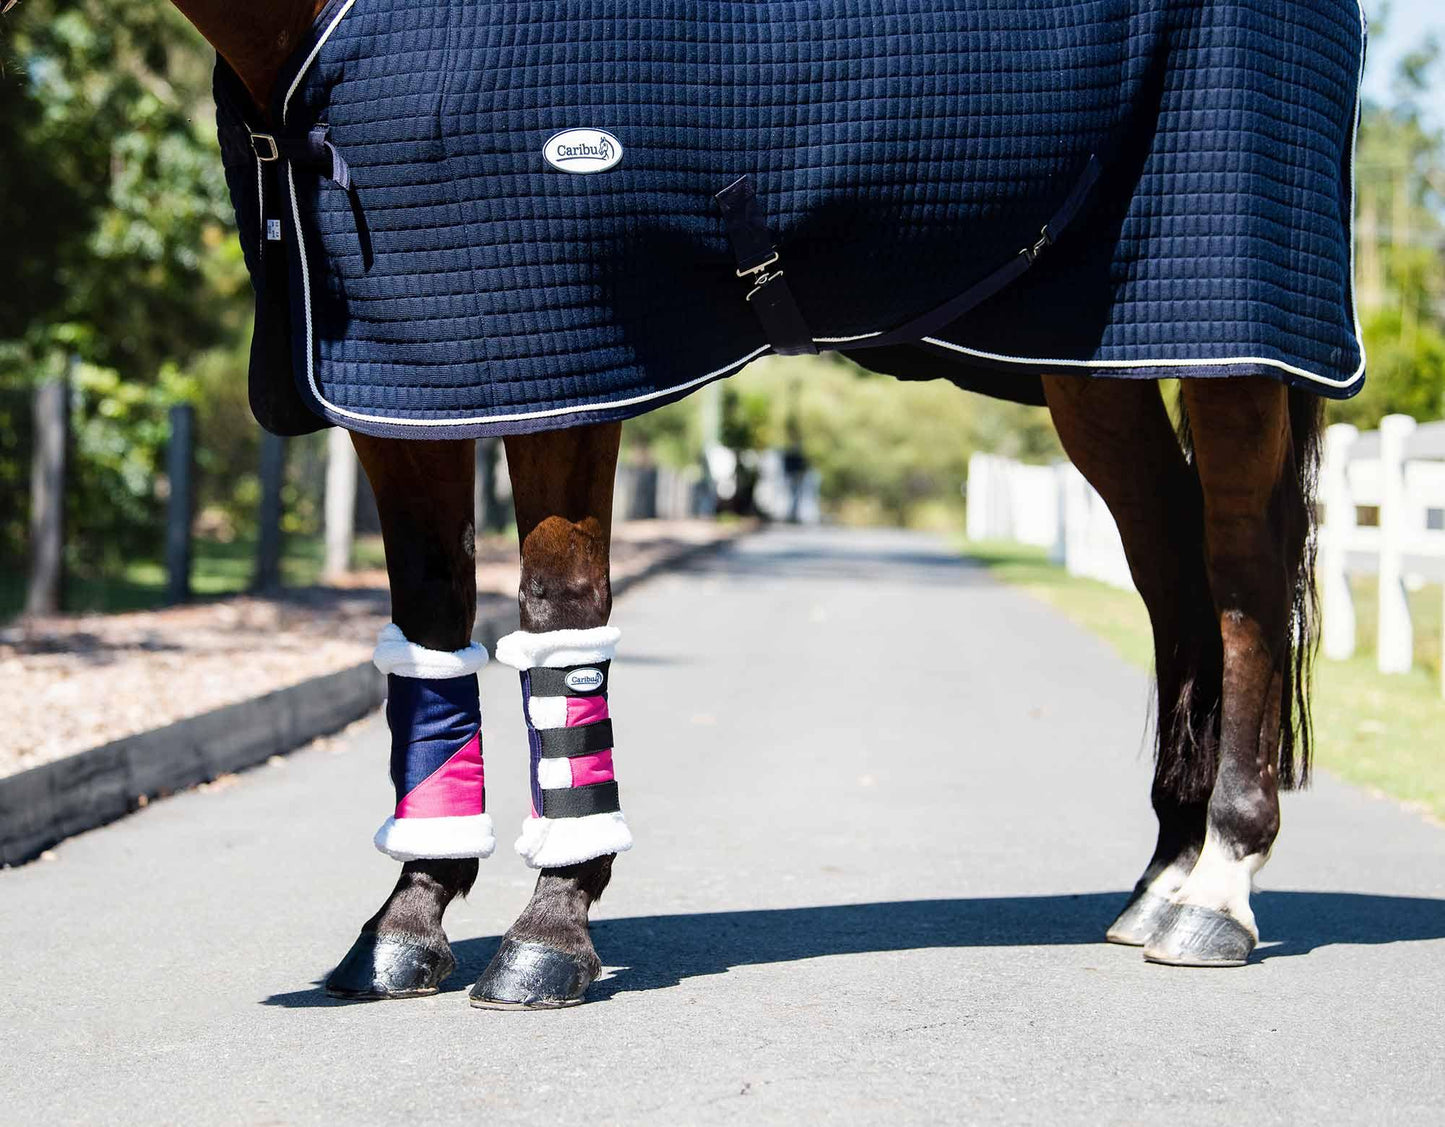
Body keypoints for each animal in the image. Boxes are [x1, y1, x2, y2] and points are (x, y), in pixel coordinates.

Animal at [158, 0, 1323, 1005]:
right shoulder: (408, 383)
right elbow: (432, 632)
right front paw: (405, 921)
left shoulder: (574, 364)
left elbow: (560, 618)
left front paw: (550, 928)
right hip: (1099, 366)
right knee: (1172, 576)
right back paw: (1163, 876)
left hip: (1233, 348)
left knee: (1243, 580)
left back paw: (1217, 890)